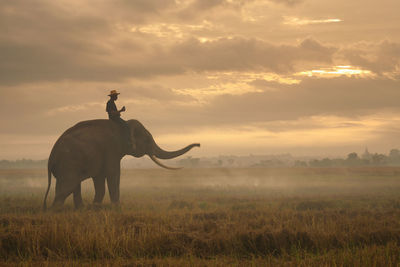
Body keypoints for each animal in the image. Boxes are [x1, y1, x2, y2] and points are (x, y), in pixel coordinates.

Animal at [43, 120, 199, 211]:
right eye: (147, 140)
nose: (198, 144)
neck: (123, 125)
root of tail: (50, 159)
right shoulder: (111, 148)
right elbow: (113, 173)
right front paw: (117, 208)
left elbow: (99, 178)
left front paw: (95, 207)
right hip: (68, 163)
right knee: (67, 187)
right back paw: (56, 211)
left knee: (74, 186)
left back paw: (81, 209)